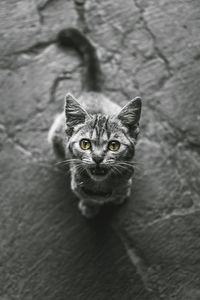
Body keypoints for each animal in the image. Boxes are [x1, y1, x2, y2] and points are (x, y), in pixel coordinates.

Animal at [48, 28, 142, 218]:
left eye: (114, 145)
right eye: (85, 144)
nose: (98, 158)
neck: (101, 186)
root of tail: (93, 91)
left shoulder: (127, 174)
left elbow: (122, 187)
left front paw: (119, 196)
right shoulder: (77, 183)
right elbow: (86, 196)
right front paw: (89, 206)